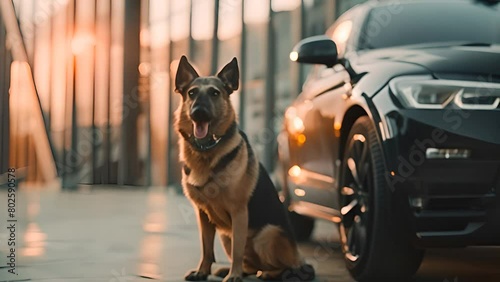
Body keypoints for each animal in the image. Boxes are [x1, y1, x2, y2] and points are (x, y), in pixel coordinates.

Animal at [176, 55, 314, 282]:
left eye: (215, 93)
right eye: (192, 93)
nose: (198, 113)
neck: (206, 151)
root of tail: (300, 258)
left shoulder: (239, 212)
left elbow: (238, 251)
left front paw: (234, 276)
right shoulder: (203, 215)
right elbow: (206, 248)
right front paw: (202, 271)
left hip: (267, 235)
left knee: (280, 266)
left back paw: (266, 273)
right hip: (225, 236)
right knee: (249, 263)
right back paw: (236, 270)